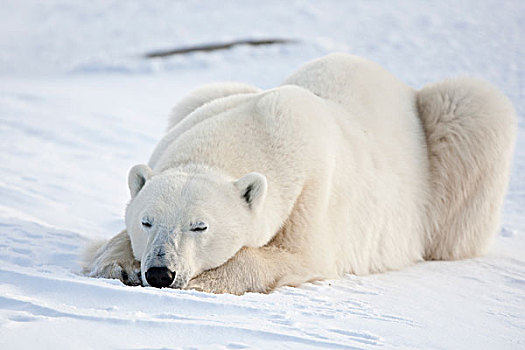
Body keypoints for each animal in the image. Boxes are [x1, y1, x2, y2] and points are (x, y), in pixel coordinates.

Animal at [83, 53, 516, 294]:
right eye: (146, 221)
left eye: (199, 226)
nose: (160, 272)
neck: (260, 123)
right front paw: (116, 263)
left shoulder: (313, 192)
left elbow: (299, 256)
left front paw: (209, 281)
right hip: (206, 94)